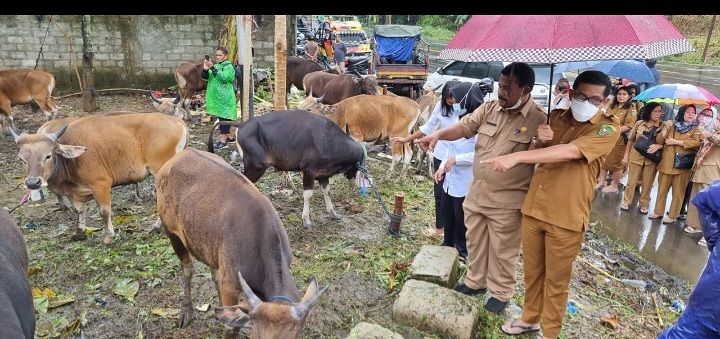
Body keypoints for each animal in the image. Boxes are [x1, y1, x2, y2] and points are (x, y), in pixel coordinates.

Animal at [10, 113, 188, 244]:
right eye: (22, 159)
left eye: (48, 155)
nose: (33, 182)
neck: (71, 160)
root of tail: (178, 122)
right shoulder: (75, 192)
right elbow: (79, 210)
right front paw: (80, 231)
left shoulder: (101, 184)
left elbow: (104, 211)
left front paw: (108, 235)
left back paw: (157, 226)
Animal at [158, 150, 330, 338]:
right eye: (258, 336)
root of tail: (178, 157)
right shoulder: (230, 285)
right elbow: (232, 327)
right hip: (171, 232)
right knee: (188, 269)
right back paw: (186, 311)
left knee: (213, 272)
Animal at [208, 111, 366, 228]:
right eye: (361, 163)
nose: (355, 180)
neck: (328, 140)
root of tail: (242, 124)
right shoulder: (308, 172)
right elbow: (308, 195)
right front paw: (306, 220)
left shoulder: (323, 174)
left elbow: (327, 191)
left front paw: (333, 213)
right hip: (256, 166)